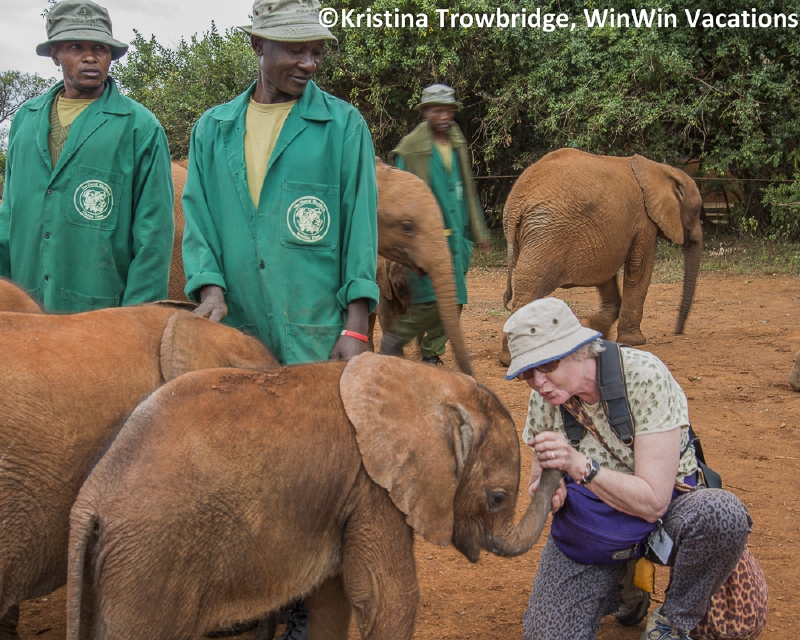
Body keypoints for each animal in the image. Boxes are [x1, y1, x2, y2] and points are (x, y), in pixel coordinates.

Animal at [66, 353, 562, 640]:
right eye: (497, 498)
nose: (555, 438)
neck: (428, 383)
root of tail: (92, 497)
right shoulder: (373, 489)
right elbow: (388, 600)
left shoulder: (345, 496)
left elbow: (333, 599)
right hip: (150, 560)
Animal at [500, 148, 703, 365]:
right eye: (696, 211)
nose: (678, 331)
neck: (662, 170)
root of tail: (516, 203)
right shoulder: (645, 220)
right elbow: (638, 268)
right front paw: (635, 341)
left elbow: (606, 275)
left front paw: (598, 330)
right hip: (545, 235)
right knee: (530, 288)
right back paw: (515, 359)